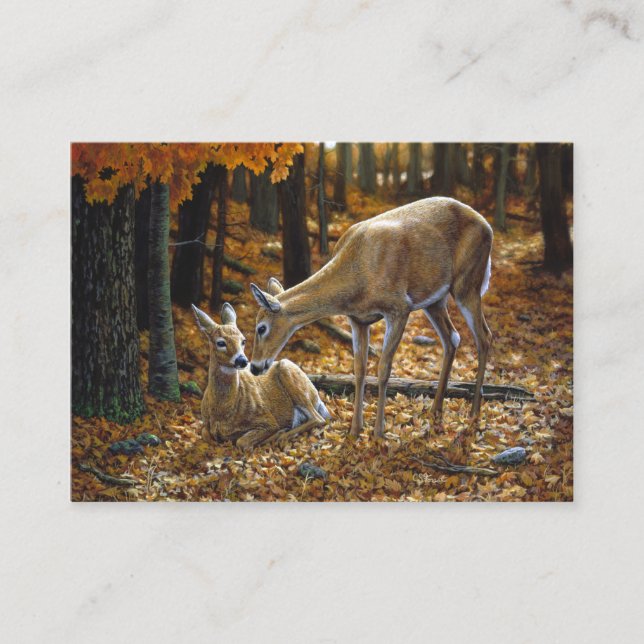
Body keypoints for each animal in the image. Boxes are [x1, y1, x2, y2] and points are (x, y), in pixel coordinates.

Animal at [191, 302, 330, 450]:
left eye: (243, 341)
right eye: (221, 342)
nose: (243, 360)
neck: (222, 413)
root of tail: (317, 396)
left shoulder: (267, 419)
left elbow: (242, 441)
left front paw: (277, 433)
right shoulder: (206, 425)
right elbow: (205, 434)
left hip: (288, 369)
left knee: (319, 419)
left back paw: (283, 434)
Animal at [249, 197, 493, 440]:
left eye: (261, 328)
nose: (254, 366)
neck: (356, 279)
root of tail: (487, 226)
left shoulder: (399, 307)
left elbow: (384, 368)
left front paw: (378, 433)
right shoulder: (358, 320)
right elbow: (359, 369)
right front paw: (355, 430)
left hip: (467, 282)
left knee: (484, 337)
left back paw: (474, 414)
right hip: (435, 299)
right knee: (452, 338)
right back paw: (435, 411)